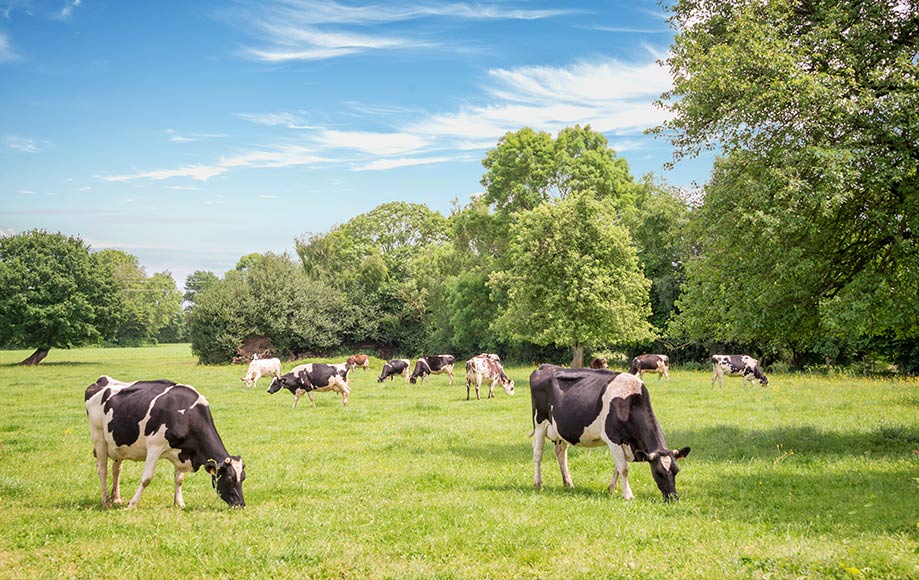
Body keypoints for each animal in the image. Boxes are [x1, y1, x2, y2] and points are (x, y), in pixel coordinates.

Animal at [83, 376, 244, 508]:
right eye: (229, 479)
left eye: (243, 478)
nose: (241, 504)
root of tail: (101, 380)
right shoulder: (155, 446)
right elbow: (146, 478)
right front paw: (132, 504)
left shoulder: (183, 450)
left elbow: (179, 479)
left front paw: (179, 503)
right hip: (99, 437)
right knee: (102, 470)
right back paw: (106, 501)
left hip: (118, 443)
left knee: (116, 470)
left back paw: (116, 498)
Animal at [528, 364, 688, 500]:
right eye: (658, 473)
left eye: (676, 470)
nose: (673, 498)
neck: (630, 402)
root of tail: (545, 367)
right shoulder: (613, 438)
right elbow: (623, 468)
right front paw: (628, 495)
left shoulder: (626, 443)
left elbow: (618, 466)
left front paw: (613, 488)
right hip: (540, 422)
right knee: (538, 453)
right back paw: (538, 483)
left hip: (561, 429)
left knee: (561, 453)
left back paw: (568, 483)